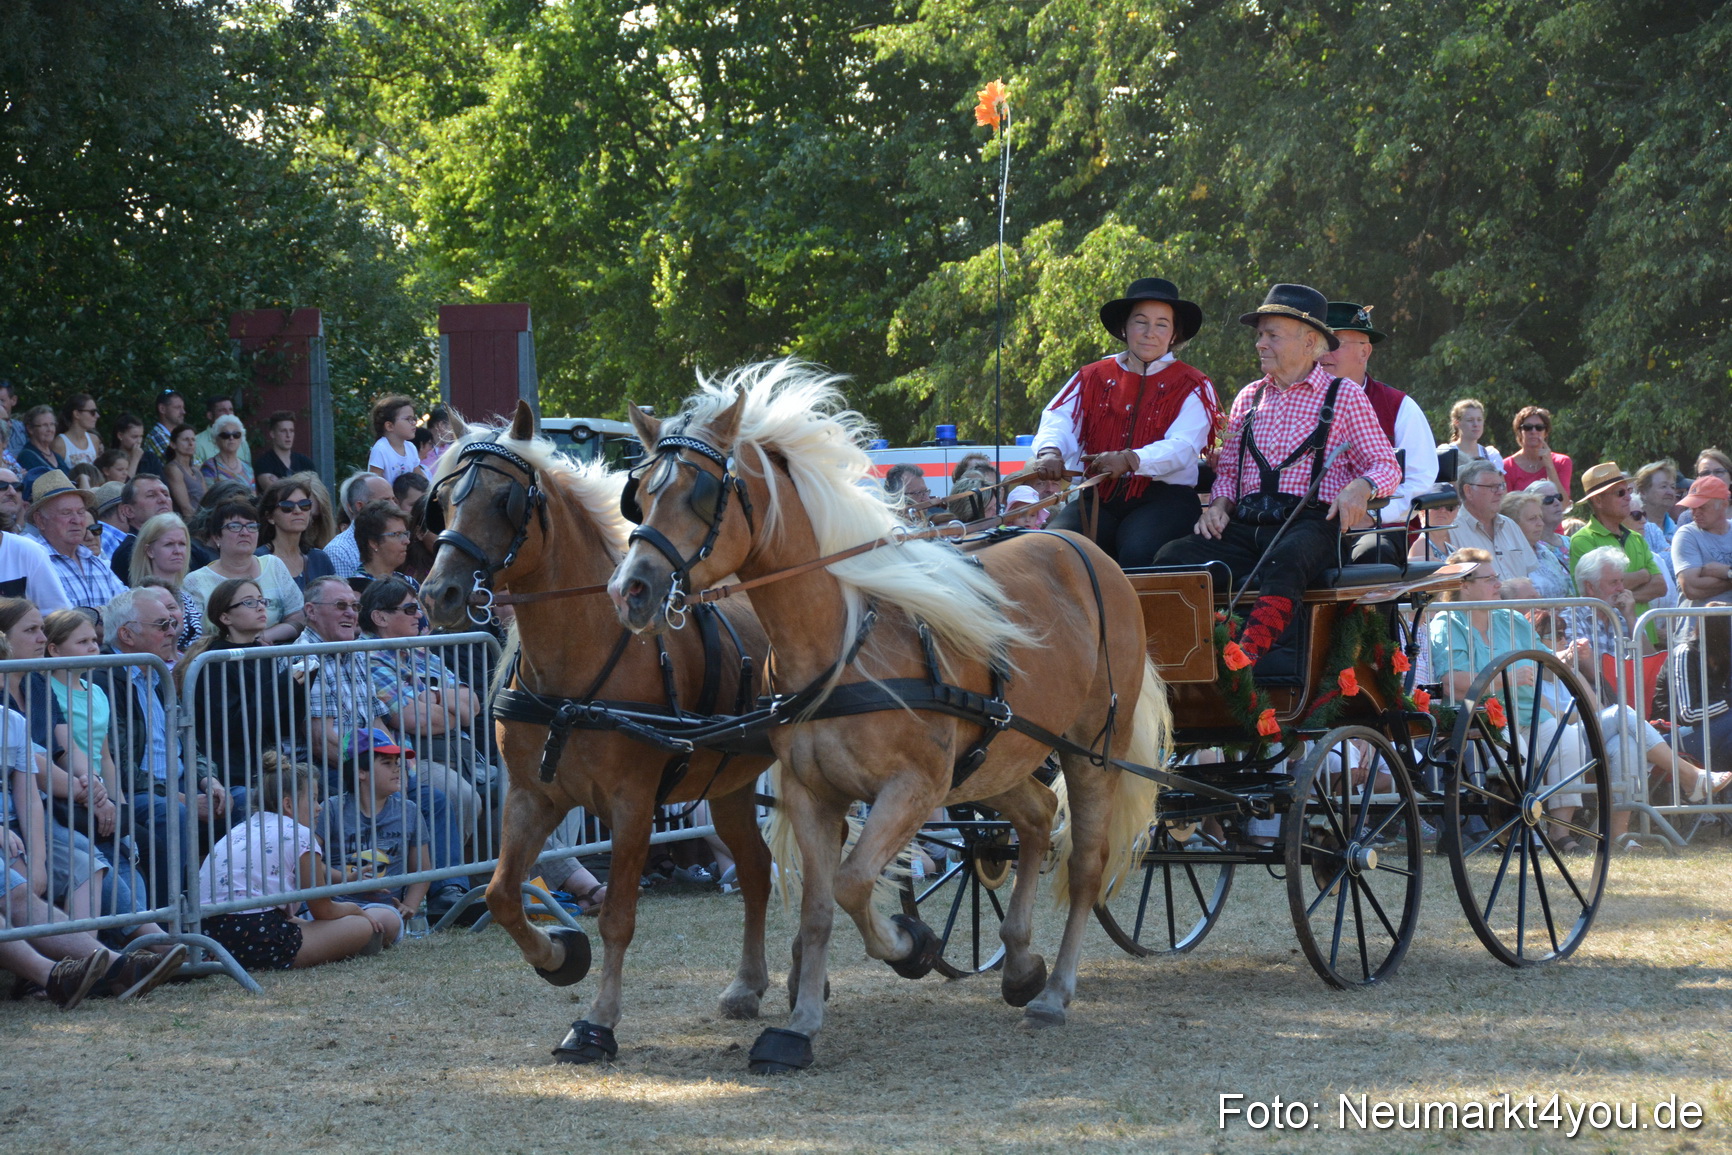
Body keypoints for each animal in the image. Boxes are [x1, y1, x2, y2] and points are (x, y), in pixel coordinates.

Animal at [420, 402, 778, 1065]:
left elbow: (617, 917)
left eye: (506, 499)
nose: (439, 594)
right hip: (729, 785)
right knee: (757, 869)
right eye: (447, 500)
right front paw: (560, 956)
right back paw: (748, 987)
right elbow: (501, 894)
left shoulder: (631, 805)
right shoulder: (532, 796)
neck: (579, 659)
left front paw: (598, 1022)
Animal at [607, 360, 1170, 1073]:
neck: (842, 643)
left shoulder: (913, 789)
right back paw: (1020, 964)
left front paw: (910, 946)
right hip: (995, 758)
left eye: (702, 494)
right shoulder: (812, 793)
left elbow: (852, 885)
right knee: (1038, 819)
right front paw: (799, 1025)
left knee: (1085, 861)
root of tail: (1087, 550)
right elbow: (819, 907)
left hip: (1091, 749)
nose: (631, 590)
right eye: (640, 495)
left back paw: (1054, 992)